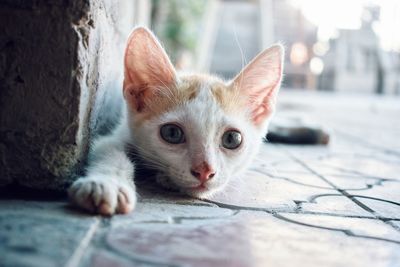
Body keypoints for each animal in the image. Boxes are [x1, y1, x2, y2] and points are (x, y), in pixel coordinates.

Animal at [67, 27, 282, 216]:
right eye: (172, 133)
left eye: (232, 139)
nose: (205, 171)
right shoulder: (120, 132)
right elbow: (109, 149)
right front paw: (106, 185)